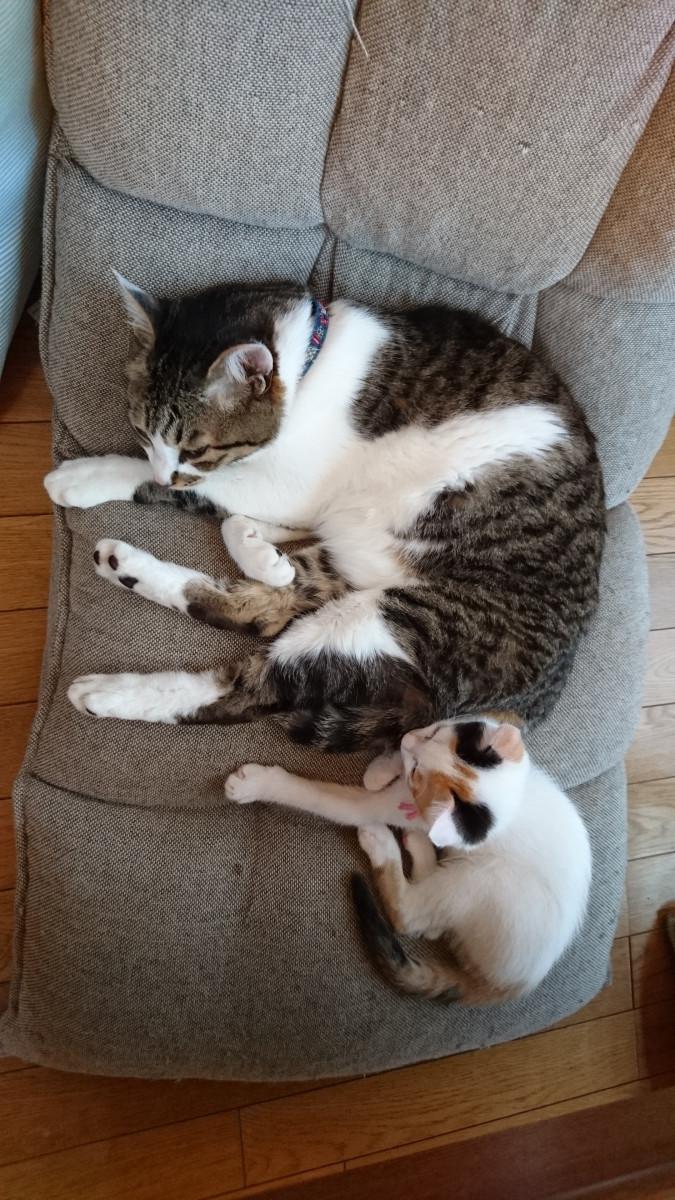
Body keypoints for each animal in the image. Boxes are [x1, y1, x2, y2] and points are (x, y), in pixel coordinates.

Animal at [44, 277, 605, 748]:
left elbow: (209, 498)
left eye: (195, 449)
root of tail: (529, 704)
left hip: (400, 620)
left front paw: (100, 475)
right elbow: (222, 514)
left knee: (252, 688)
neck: (309, 364)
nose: (167, 475)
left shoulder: (288, 487)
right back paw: (124, 566)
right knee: (260, 610)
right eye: (142, 430)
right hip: (352, 571)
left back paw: (112, 692)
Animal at [225, 719, 592, 1003]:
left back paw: (381, 842)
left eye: (417, 772)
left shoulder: (385, 804)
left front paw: (257, 783)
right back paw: (417, 842)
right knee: (432, 925)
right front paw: (381, 767)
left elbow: (323, 797)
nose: (407, 739)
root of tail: (513, 986)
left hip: (480, 882)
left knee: (410, 915)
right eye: (434, 734)